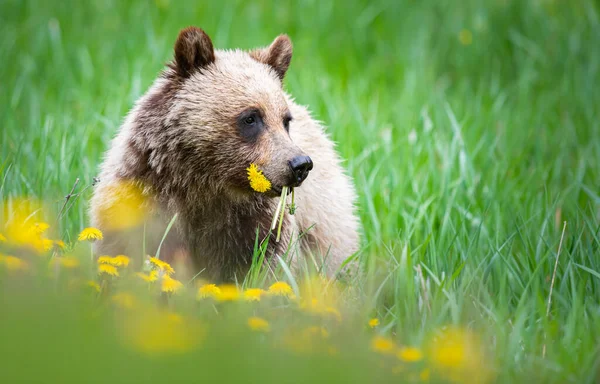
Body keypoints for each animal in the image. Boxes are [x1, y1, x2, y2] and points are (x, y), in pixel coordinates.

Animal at [90, 26, 360, 280]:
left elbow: (265, 264)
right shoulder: (142, 196)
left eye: (285, 120)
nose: (300, 164)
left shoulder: (256, 225)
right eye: (251, 117)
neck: (204, 184)